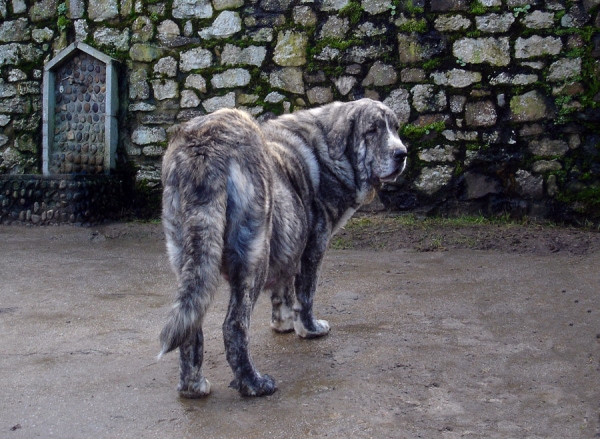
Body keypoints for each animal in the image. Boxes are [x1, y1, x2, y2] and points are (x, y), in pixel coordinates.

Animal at [158, 99, 408, 398]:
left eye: (395, 128)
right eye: (372, 130)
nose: (402, 153)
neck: (328, 149)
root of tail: (204, 144)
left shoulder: (290, 243)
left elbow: (284, 291)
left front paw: (284, 322)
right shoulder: (313, 247)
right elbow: (306, 294)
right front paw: (309, 328)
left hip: (188, 257)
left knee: (192, 325)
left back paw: (193, 386)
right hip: (255, 257)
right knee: (234, 325)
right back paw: (253, 384)